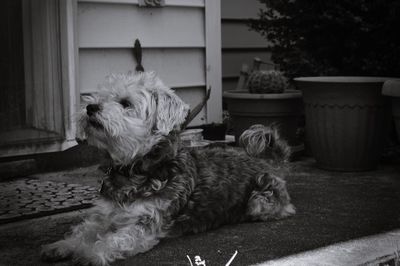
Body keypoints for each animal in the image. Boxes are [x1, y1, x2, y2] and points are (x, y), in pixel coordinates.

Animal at [40, 71, 296, 266]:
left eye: (125, 103)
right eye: (100, 96)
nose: (91, 107)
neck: (133, 168)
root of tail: (270, 161)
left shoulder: (144, 225)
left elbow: (112, 240)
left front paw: (89, 253)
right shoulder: (104, 214)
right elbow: (83, 230)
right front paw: (65, 245)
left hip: (259, 201)